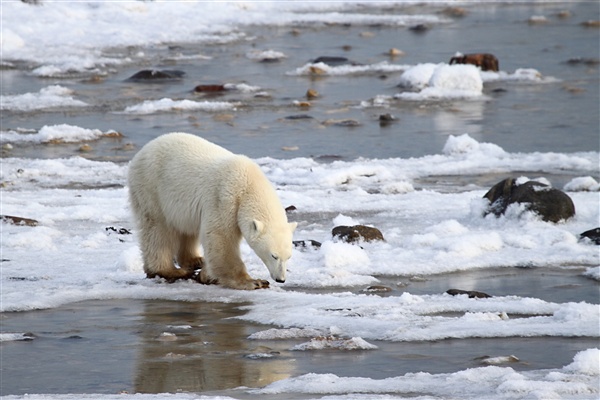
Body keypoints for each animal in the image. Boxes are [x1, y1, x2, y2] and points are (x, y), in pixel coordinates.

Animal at [127, 133, 296, 290]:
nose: (281, 279)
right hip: (151, 188)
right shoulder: (224, 198)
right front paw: (254, 282)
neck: (248, 184)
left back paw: (195, 260)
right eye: (273, 255)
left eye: (288, 256)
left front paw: (206, 275)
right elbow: (220, 237)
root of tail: (144, 150)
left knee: (187, 230)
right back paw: (170, 270)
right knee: (158, 229)